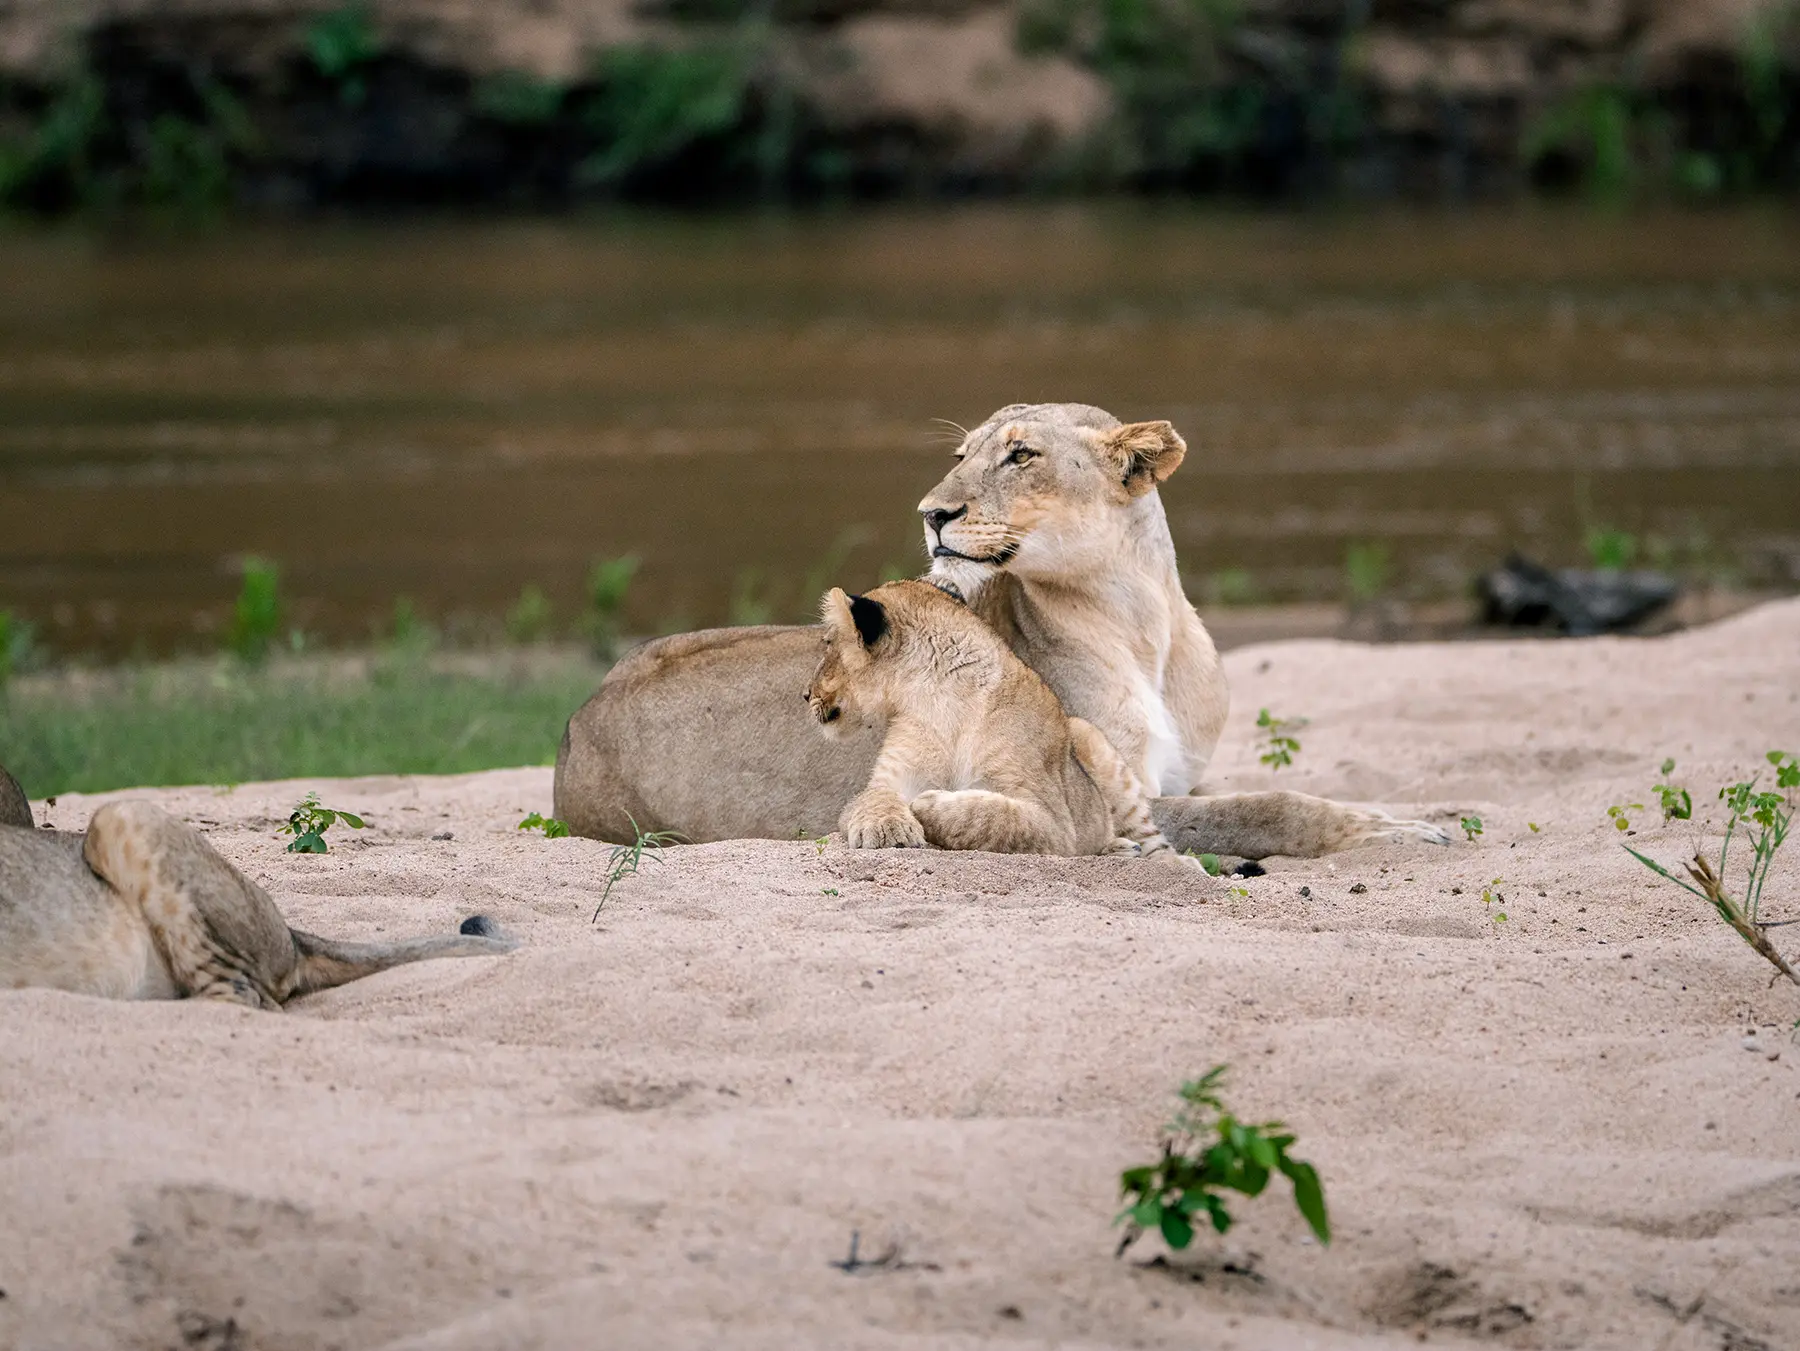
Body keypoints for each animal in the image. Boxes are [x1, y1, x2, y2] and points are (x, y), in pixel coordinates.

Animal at [810, 579, 1189, 860]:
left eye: (827, 644)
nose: (805, 694)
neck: (941, 700)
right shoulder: (891, 778)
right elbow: (872, 797)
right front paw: (889, 828)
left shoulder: (1055, 824)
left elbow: (994, 817)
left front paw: (928, 804)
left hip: (1093, 741)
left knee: (1151, 838)